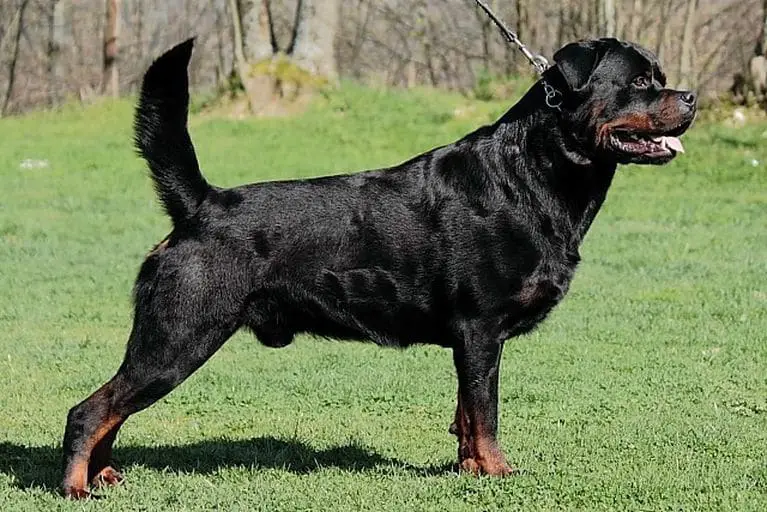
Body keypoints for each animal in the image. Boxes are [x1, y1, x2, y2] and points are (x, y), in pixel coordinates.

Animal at [61, 38, 696, 498]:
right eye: (641, 83)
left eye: (660, 78)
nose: (690, 97)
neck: (531, 173)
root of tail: (202, 205)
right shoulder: (480, 331)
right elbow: (486, 413)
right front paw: (496, 474)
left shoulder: (470, 341)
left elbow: (465, 414)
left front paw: (467, 471)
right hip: (178, 337)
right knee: (91, 410)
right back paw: (76, 487)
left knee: (112, 409)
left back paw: (104, 476)